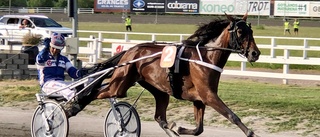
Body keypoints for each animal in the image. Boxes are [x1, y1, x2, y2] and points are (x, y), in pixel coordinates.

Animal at [83, 13, 260, 137]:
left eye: (251, 30)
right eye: (239, 31)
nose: (255, 53)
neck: (206, 57)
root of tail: (129, 51)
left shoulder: (199, 98)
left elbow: (199, 129)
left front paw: (178, 128)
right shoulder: (208, 95)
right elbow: (232, 116)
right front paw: (251, 133)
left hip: (158, 90)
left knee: (159, 117)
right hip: (120, 84)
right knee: (96, 93)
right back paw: (76, 103)